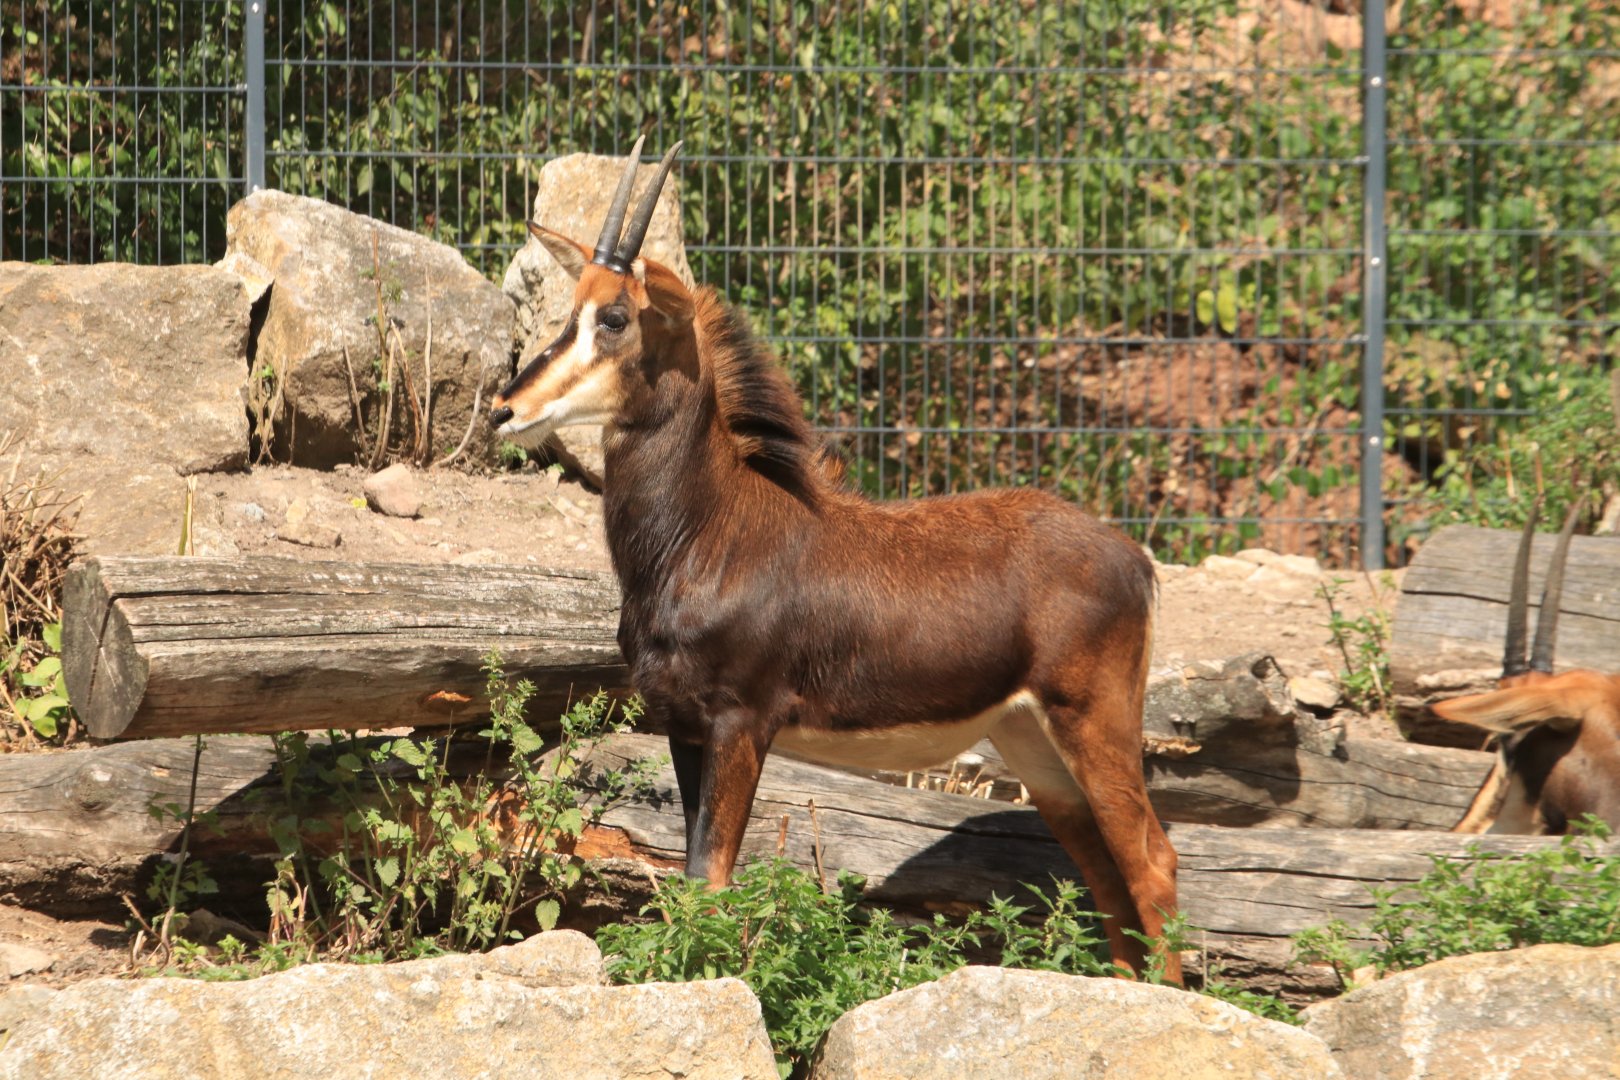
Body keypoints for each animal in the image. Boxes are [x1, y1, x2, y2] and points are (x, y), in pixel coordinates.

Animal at [489, 139, 1179, 980]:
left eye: (616, 317)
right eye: (570, 311)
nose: (506, 409)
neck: (711, 530)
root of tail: (1133, 559)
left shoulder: (741, 723)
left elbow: (713, 878)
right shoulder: (686, 727)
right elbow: (691, 880)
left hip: (1093, 718)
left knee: (1150, 862)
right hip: (1033, 741)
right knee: (1104, 870)